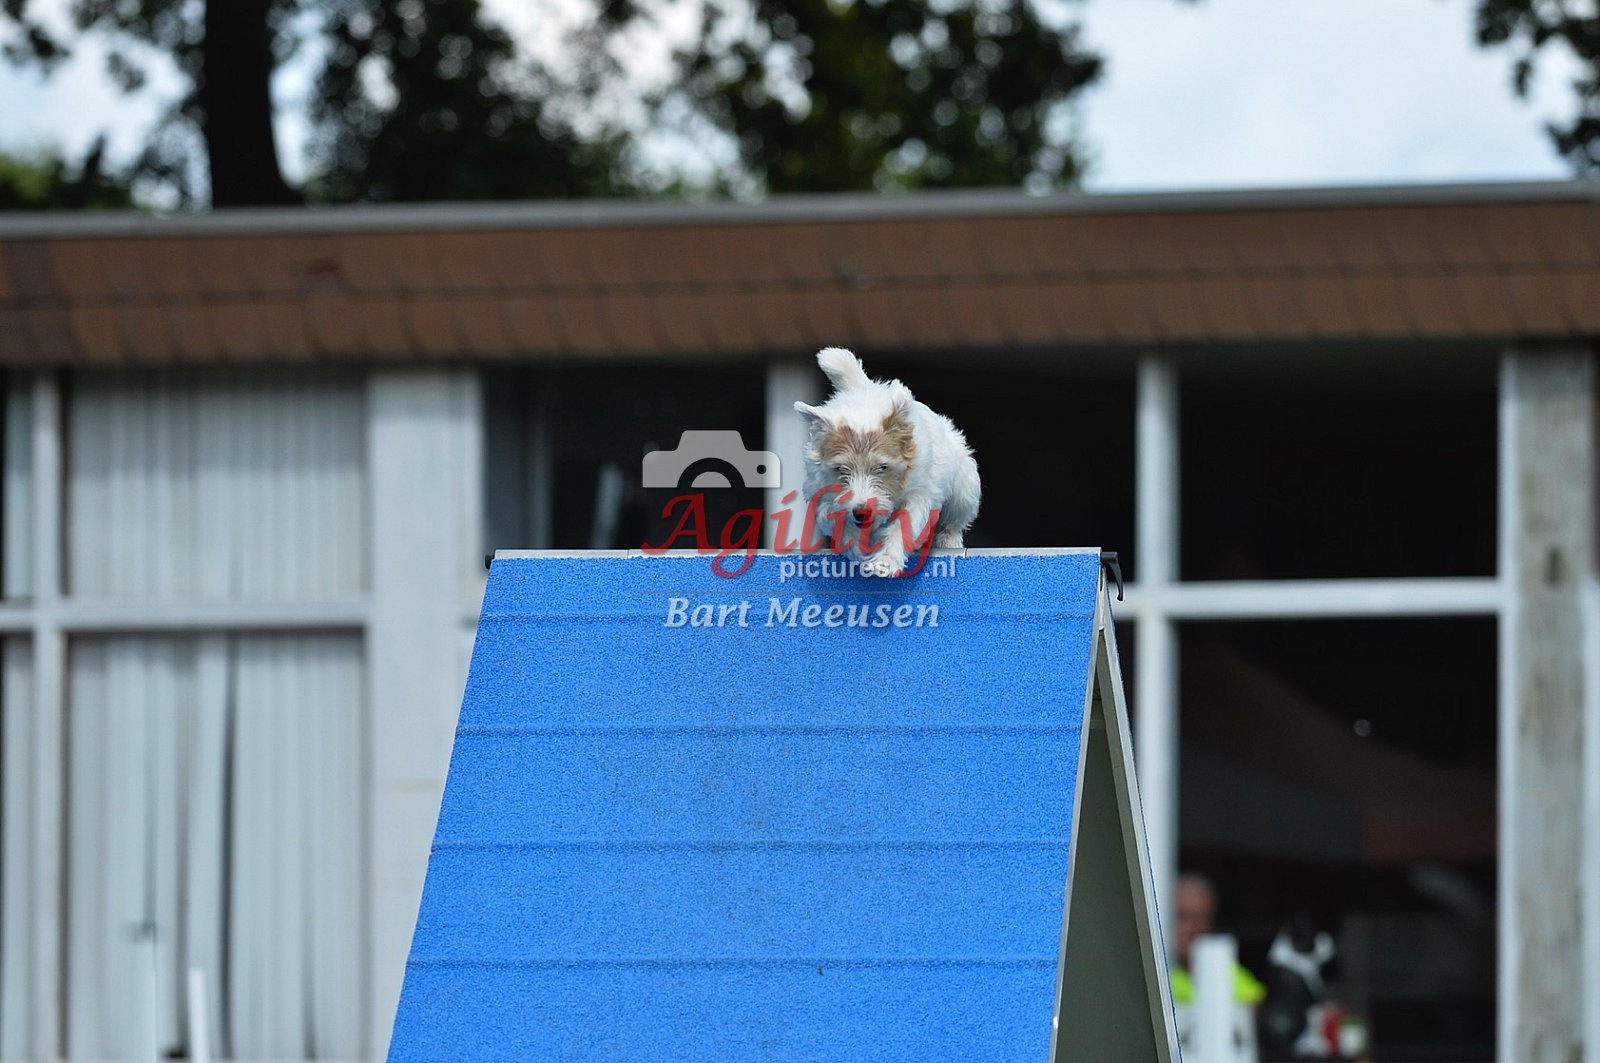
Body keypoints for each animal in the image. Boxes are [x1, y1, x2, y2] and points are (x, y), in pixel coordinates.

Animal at [794, 347, 980, 576]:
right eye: (841, 469)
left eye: (883, 467)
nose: (862, 512)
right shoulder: (822, 493)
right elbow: (835, 517)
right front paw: (857, 547)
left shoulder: (919, 494)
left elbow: (903, 525)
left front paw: (885, 561)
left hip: (964, 489)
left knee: (955, 519)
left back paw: (949, 541)